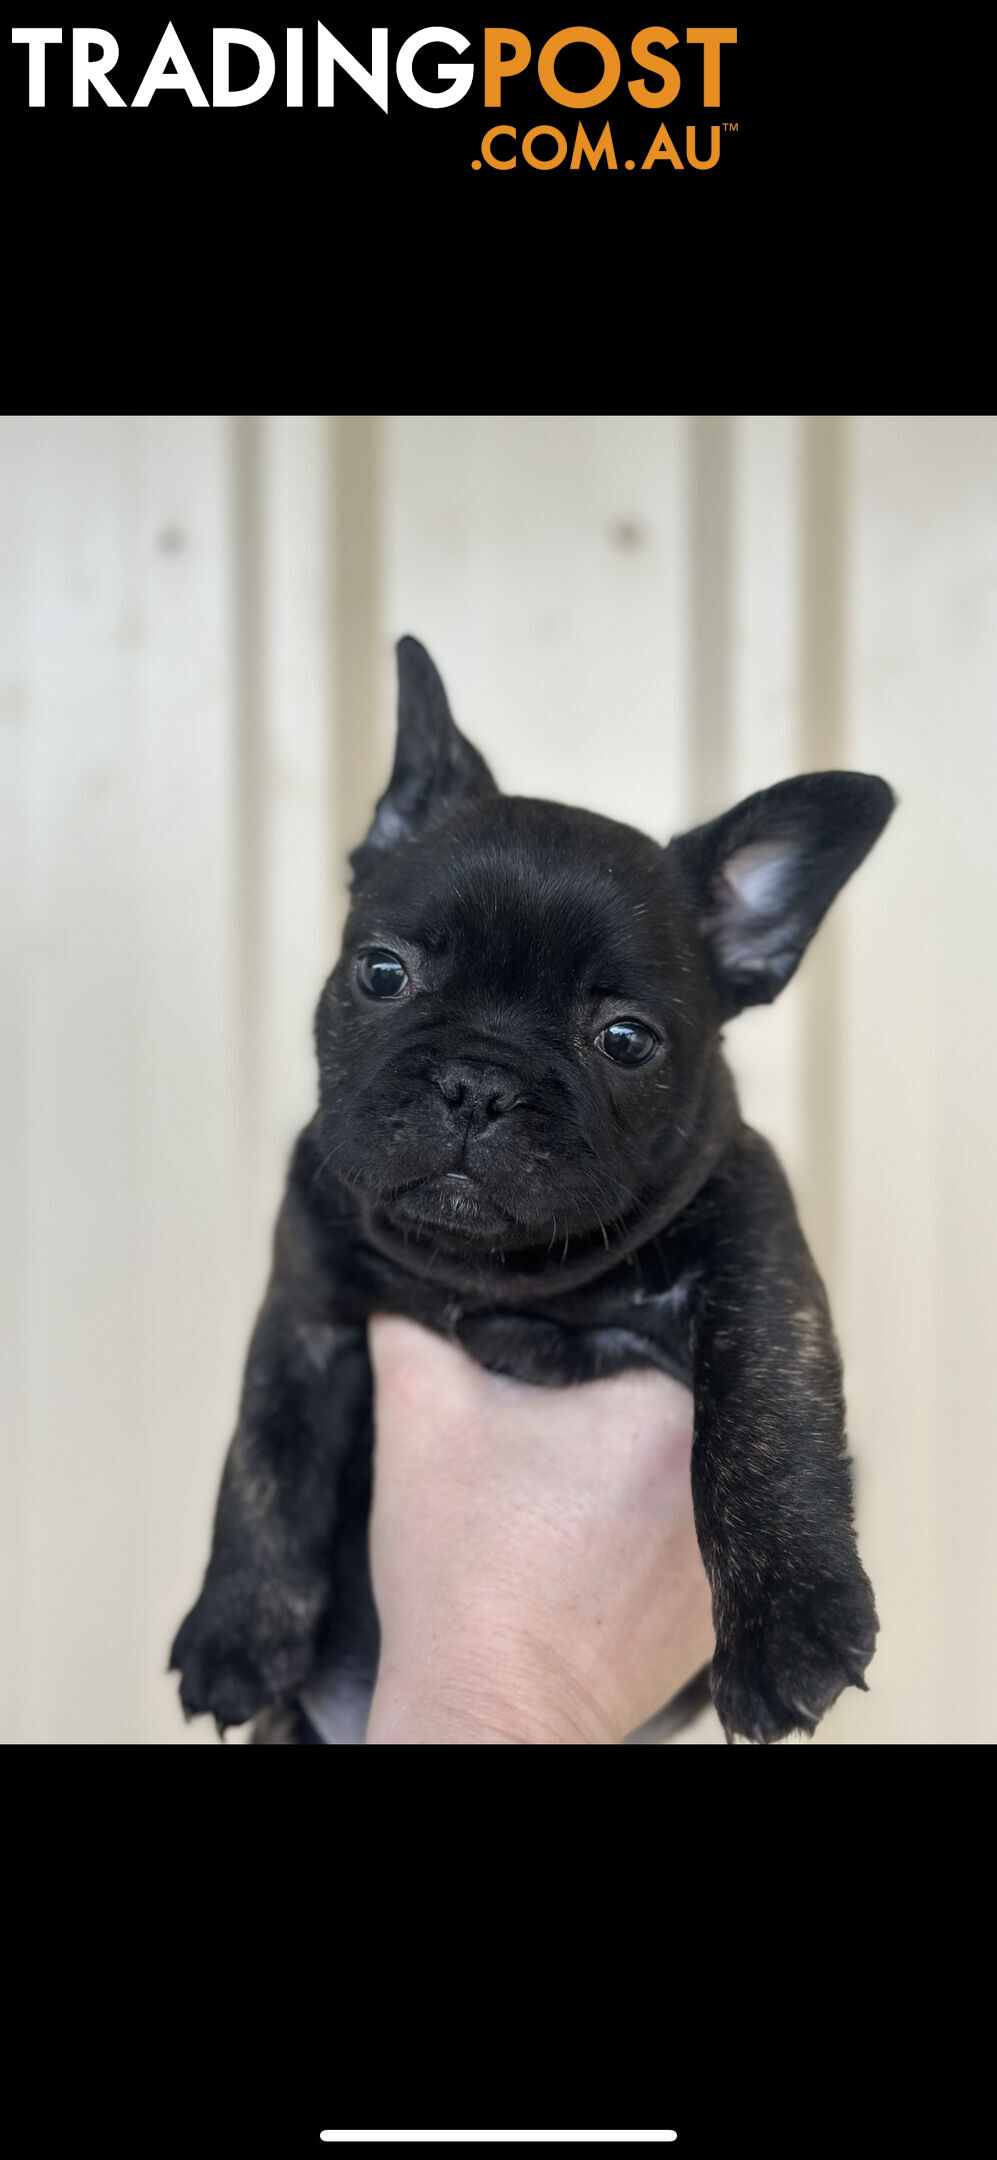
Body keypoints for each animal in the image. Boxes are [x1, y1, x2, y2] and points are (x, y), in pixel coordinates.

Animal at [171, 630, 897, 1745]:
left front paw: (788, 1625)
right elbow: (267, 1452)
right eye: (381, 973)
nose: (480, 1083)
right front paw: (235, 1631)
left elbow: (762, 1407)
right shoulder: (305, 1309)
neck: (499, 1276)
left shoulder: (755, 1251)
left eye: (626, 1041)